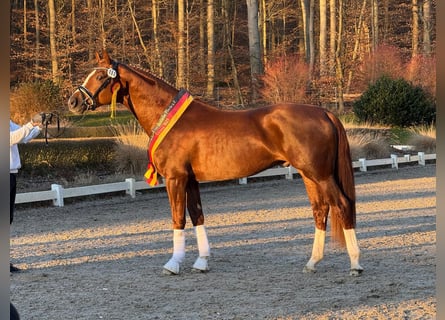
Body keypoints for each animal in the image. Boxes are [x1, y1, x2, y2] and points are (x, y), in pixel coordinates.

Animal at [67, 50, 362, 276]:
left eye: (101, 76)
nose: (73, 101)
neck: (169, 118)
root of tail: (323, 112)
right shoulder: (191, 180)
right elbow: (197, 215)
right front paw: (201, 262)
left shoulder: (175, 178)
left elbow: (178, 218)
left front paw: (173, 264)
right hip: (309, 175)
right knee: (320, 210)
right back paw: (312, 262)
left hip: (320, 175)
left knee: (342, 205)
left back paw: (355, 264)